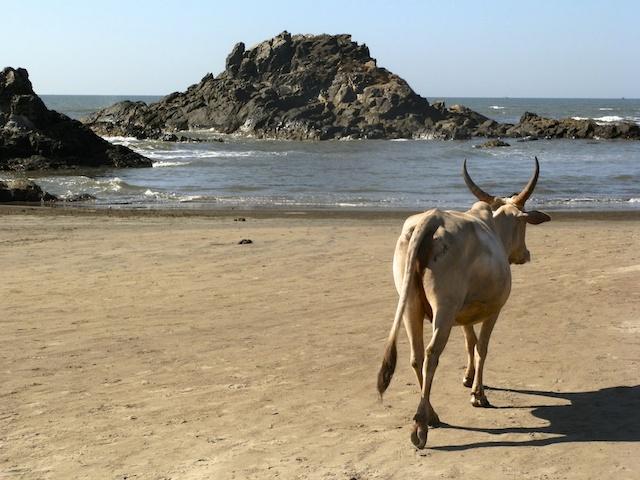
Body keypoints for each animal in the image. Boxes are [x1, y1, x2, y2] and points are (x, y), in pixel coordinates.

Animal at [376, 158, 552, 450]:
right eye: (524, 224)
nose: (525, 254)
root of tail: (431, 219)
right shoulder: (494, 309)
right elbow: (482, 347)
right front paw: (478, 394)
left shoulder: (464, 314)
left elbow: (470, 342)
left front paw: (468, 378)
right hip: (444, 308)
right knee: (432, 354)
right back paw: (421, 425)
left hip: (411, 304)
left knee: (416, 355)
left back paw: (432, 413)